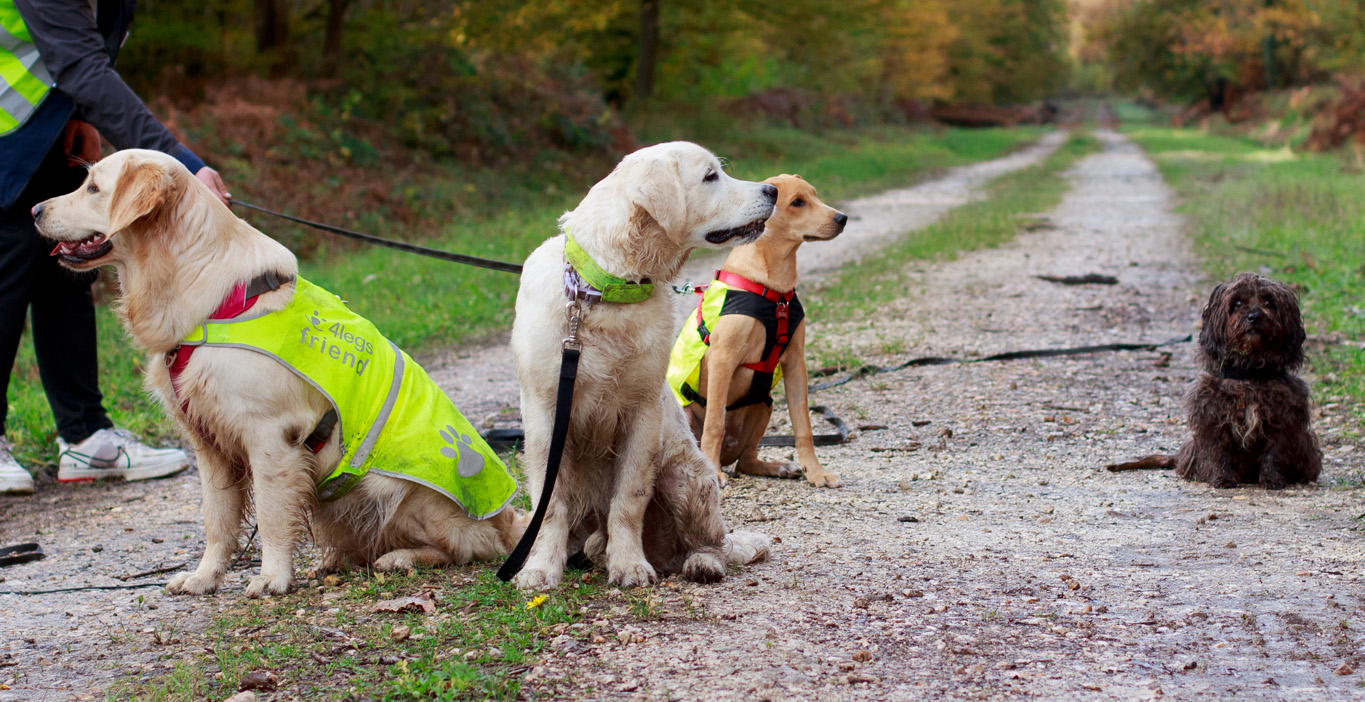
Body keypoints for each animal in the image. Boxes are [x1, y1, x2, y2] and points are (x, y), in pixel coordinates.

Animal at [36, 150, 526, 592]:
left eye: (93, 188)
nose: (34, 210)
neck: (203, 293)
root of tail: (507, 517)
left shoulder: (270, 436)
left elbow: (272, 516)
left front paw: (272, 577)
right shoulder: (208, 443)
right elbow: (217, 520)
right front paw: (203, 577)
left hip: (397, 490)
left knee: (470, 545)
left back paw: (400, 557)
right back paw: (337, 560)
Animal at [668, 172, 846, 483]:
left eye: (814, 194)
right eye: (797, 202)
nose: (842, 218)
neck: (775, 292)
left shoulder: (795, 363)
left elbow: (803, 426)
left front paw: (816, 472)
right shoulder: (722, 359)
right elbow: (714, 423)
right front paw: (714, 474)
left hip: (764, 404)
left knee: (746, 462)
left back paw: (777, 467)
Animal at [1173, 273, 1321, 486]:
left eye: (1269, 302)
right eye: (1237, 303)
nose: (1254, 316)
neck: (1248, 374)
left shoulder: (1284, 417)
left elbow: (1275, 452)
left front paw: (1272, 479)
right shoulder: (1210, 414)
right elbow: (1217, 451)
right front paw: (1223, 477)